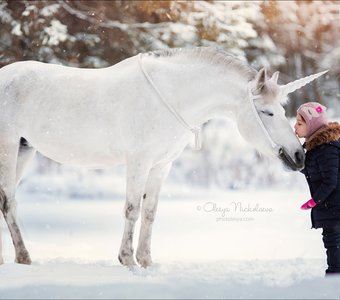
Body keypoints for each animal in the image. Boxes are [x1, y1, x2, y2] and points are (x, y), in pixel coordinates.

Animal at [0, 47, 326, 268]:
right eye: (266, 112)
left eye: (282, 110)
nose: (298, 155)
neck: (170, 98)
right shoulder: (139, 162)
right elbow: (132, 209)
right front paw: (127, 260)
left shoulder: (161, 166)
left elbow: (150, 212)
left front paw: (146, 261)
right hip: (8, 147)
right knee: (7, 201)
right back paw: (23, 256)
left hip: (24, 150)